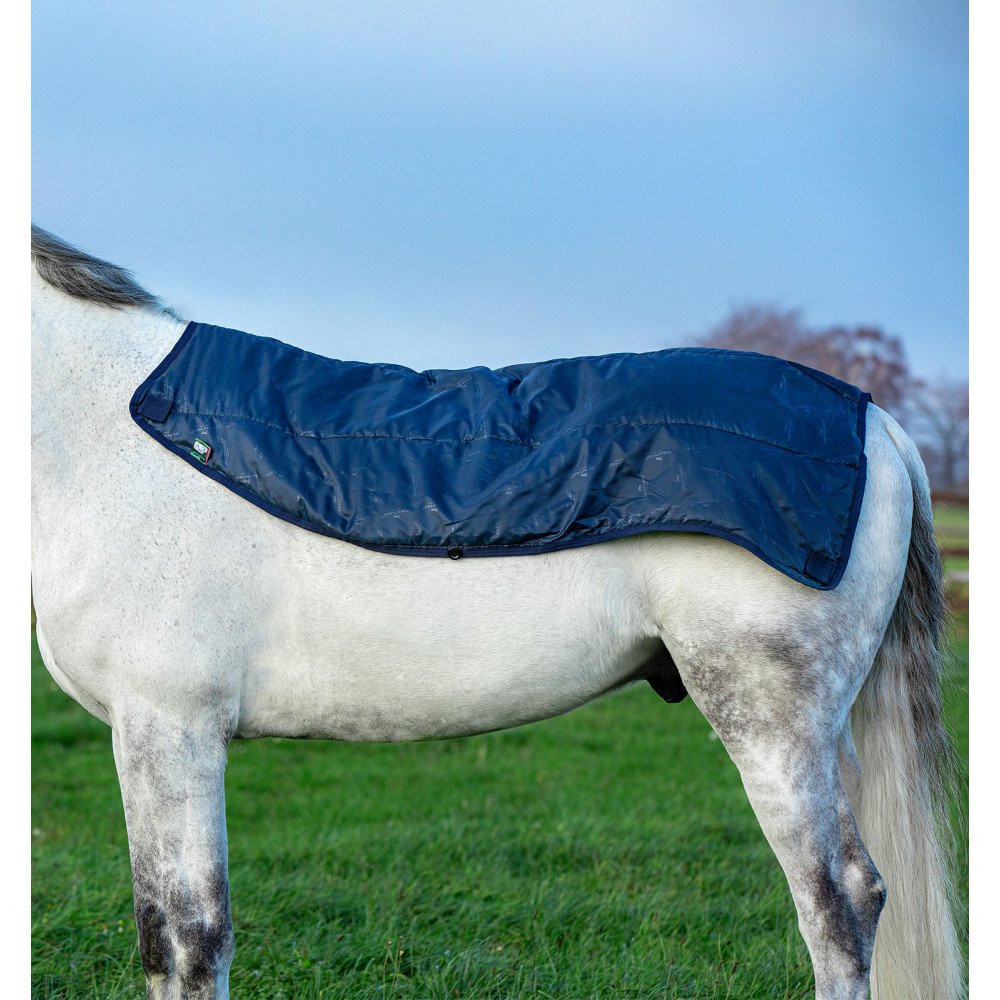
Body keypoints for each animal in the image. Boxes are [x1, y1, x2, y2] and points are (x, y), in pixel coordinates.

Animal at [30, 225, 964, 1000]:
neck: (104, 437)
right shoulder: (161, 732)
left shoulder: (168, 726)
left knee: (839, 903)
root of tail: (879, 424)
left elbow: (186, 939)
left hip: (773, 722)